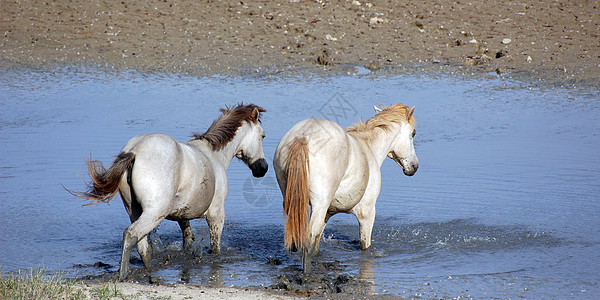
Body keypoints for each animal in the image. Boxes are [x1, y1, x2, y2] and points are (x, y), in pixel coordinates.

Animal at [274, 103, 418, 274]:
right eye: (413, 134)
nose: (414, 167)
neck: (369, 148)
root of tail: (303, 137)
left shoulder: (328, 213)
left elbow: (317, 245)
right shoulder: (367, 213)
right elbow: (365, 246)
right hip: (319, 205)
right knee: (307, 241)